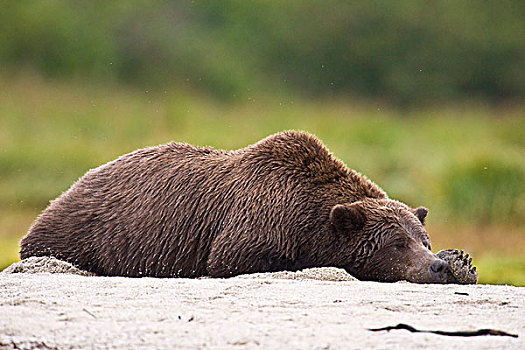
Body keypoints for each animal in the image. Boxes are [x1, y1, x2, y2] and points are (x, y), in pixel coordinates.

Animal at [19, 130, 446, 284]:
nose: (437, 266)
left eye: (424, 241)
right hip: (84, 229)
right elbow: (235, 259)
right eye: (397, 244)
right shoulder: (256, 222)